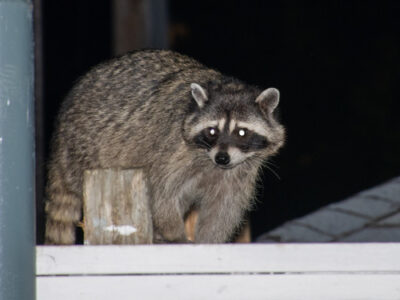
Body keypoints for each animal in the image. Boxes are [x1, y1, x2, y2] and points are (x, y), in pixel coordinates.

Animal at [45, 49, 286, 245]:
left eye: (242, 132)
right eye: (212, 131)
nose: (222, 158)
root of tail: (60, 138)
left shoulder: (239, 173)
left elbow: (224, 208)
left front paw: (209, 240)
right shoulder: (170, 148)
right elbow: (161, 193)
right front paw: (175, 233)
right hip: (85, 147)